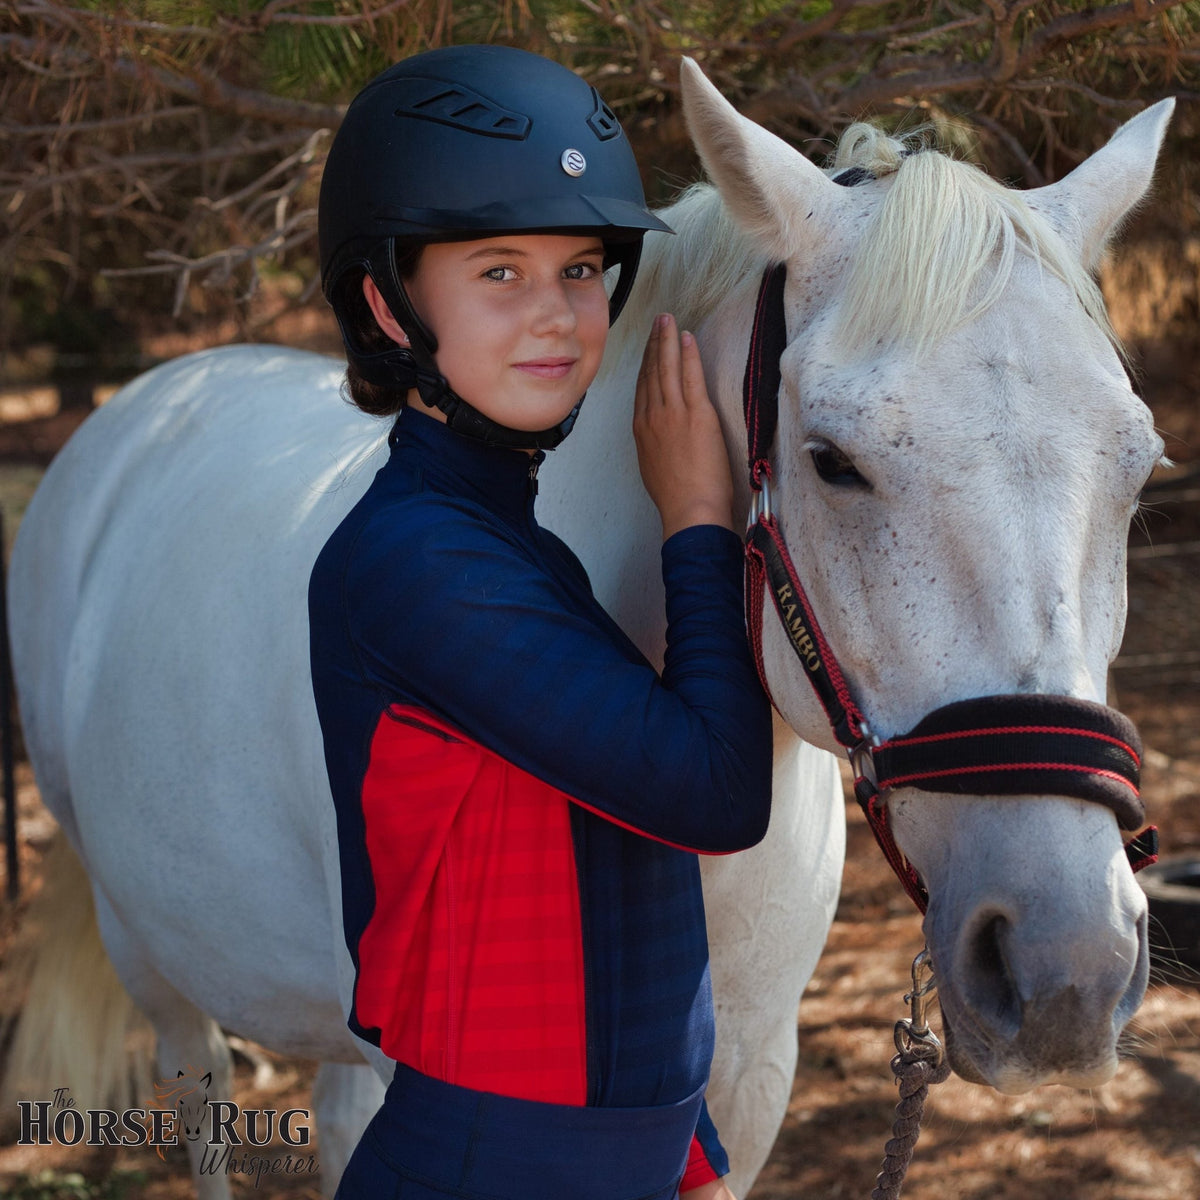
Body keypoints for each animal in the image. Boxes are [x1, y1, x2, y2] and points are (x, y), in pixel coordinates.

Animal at [5, 60, 1174, 1197]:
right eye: (833, 461)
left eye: (1140, 468)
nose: (1068, 970)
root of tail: (142, 406)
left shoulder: (752, 1074)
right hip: (152, 960)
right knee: (202, 1109)